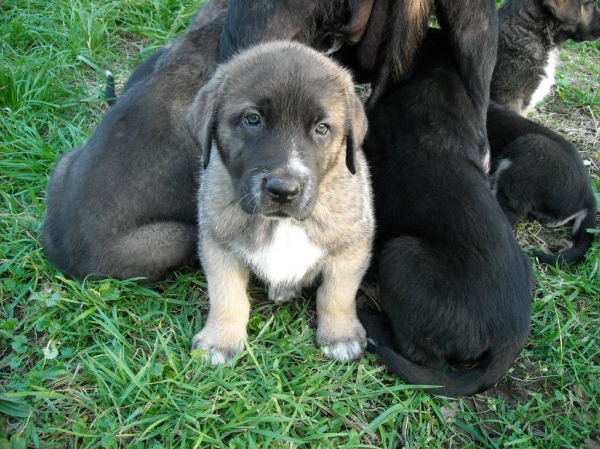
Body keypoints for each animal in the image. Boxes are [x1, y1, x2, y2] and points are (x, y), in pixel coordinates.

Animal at [189, 41, 376, 364]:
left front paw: (340, 335)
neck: (281, 223)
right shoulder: (218, 245)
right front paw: (220, 340)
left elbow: (337, 294)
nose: (284, 190)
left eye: (322, 128)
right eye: (253, 119)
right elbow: (227, 296)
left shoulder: (351, 247)